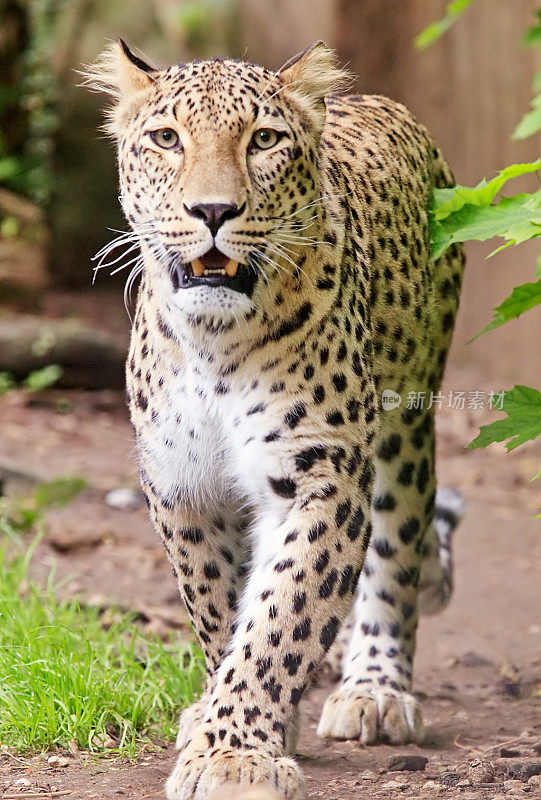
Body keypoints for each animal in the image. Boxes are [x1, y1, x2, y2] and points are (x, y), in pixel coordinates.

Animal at [84, 39, 464, 800]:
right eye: (166, 139)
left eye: (263, 141)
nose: (211, 209)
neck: (215, 344)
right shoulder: (185, 487)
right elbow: (222, 609)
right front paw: (232, 725)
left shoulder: (319, 477)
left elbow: (280, 617)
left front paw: (234, 755)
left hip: (406, 424)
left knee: (396, 548)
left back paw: (375, 689)